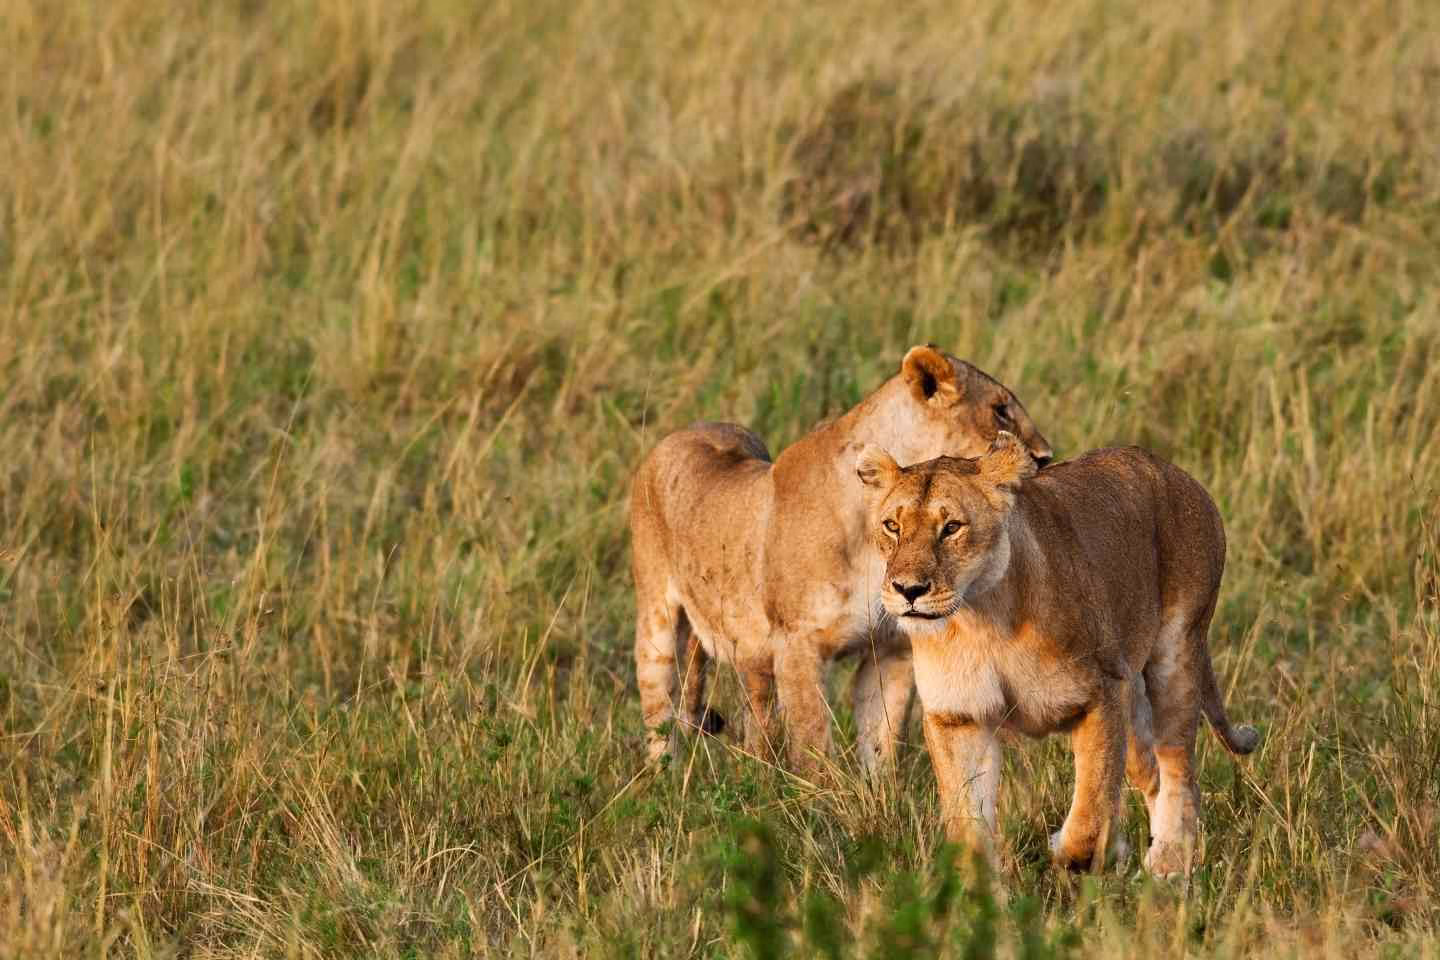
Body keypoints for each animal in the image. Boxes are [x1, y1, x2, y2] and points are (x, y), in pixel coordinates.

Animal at [630, 346, 1052, 774]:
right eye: (1000, 410)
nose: (1046, 458)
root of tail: (682, 432)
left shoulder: (892, 648)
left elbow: (881, 741)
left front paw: (879, 792)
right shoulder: (798, 644)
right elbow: (813, 745)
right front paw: (819, 792)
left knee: (756, 716)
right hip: (656, 620)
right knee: (660, 707)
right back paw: (664, 777)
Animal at [856, 433, 1259, 877]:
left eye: (951, 528)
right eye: (892, 526)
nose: (908, 590)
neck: (981, 621)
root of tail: (1175, 471)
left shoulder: (1101, 692)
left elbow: (1091, 805)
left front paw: (1075, 851)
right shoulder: (959, 717)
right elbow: (967, 821)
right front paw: (977, 886)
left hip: (1177, 655)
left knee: (1179, 770)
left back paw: (1168, 863)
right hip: (1134, 701)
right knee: (1152, 773)